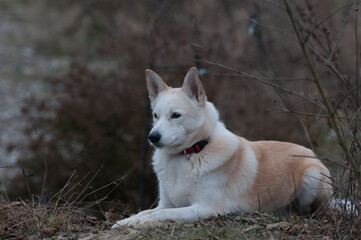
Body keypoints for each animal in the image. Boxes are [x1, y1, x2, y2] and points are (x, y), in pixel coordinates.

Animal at [112, 66, 332, 228]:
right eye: (155, 115)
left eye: (175, 115)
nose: (153, 137)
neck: (188, 153)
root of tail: (312, 154)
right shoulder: (165, 202)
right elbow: (147, 210)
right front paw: (125, 221)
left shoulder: (205, 208)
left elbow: (163, 214)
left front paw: (138, 222)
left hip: (311, 176)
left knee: (310, 210)